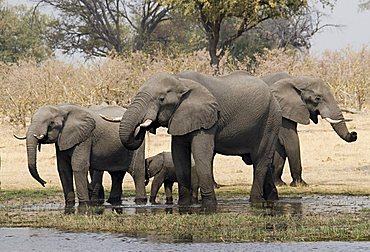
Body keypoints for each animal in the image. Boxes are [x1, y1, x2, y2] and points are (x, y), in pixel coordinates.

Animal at [118, 70, 280, 211]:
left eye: (161, 99)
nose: (143, 126)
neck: (180, 81)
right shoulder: (180, 117)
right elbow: (179, 155)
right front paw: (184, 205)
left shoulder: (207, 119)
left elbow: (201, 154)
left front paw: (209, 206)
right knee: (261, 161)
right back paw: (273, 199)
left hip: (270, 121)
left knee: (260, 160)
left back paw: (255, 201)